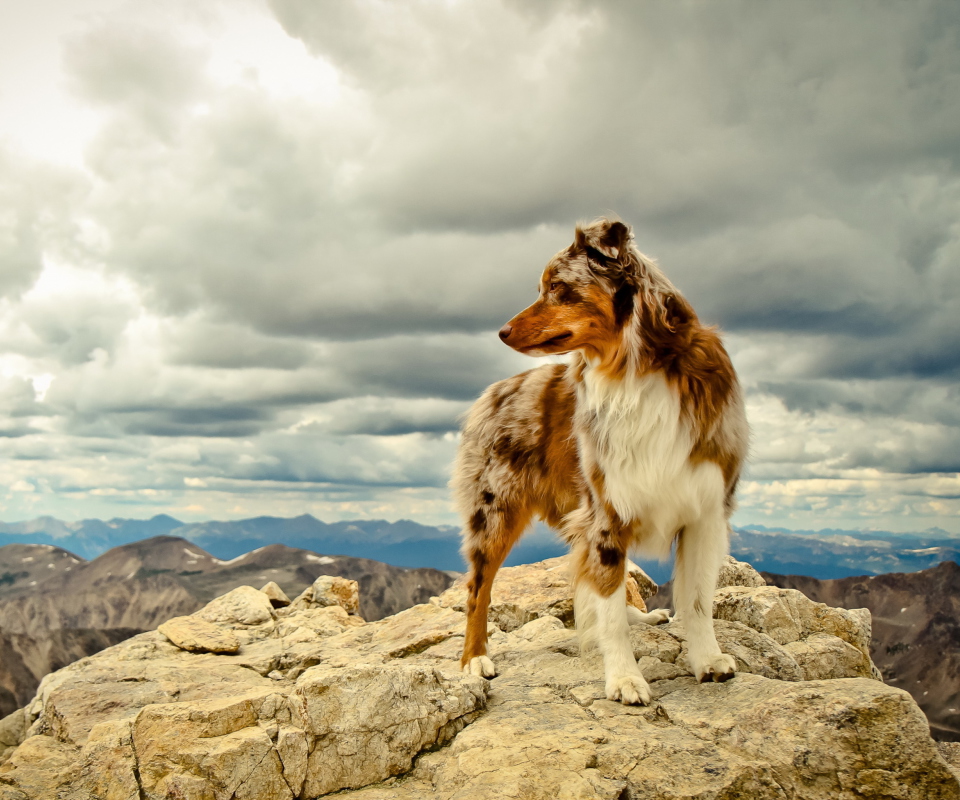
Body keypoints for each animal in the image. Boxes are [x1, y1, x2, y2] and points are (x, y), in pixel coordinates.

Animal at [450, 216, 752, 704]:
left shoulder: (704, 510)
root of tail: (494, 391)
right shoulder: (606, 512)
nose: (501, 331)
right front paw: (625, 679)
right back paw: (474, 659)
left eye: (557, 287)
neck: (636, 370)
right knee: (479, 588)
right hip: (495, 511)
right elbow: (608, 609)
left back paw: (641, 616)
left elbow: (697, 600)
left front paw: (707, 660)